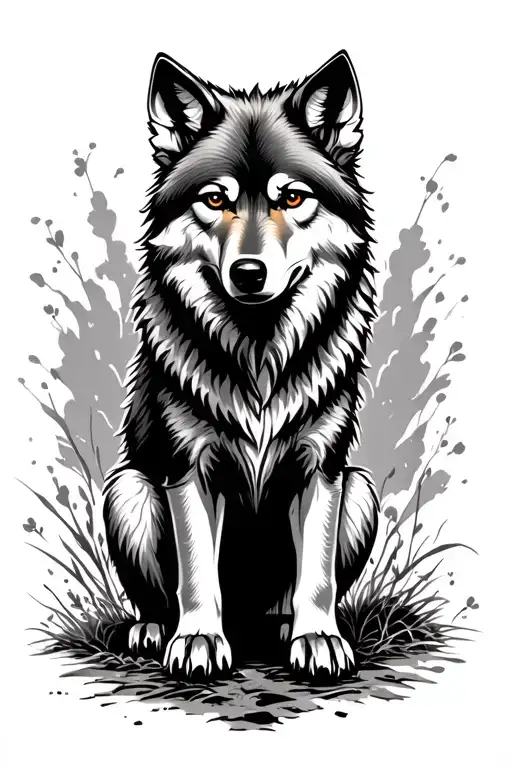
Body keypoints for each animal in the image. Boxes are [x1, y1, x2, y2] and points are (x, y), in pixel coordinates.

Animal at [103, 49, 379, 680]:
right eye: (214, 199)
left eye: (293, 198)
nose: (249, 274)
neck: (259, 352)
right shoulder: (186, 466)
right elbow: (197, 567)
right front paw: (199, 639)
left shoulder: (325, 467)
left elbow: (317, 575)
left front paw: (317, 637)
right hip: (128, 490)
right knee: (159, 592)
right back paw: (154, 629)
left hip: (361, 490)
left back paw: (280, 627)